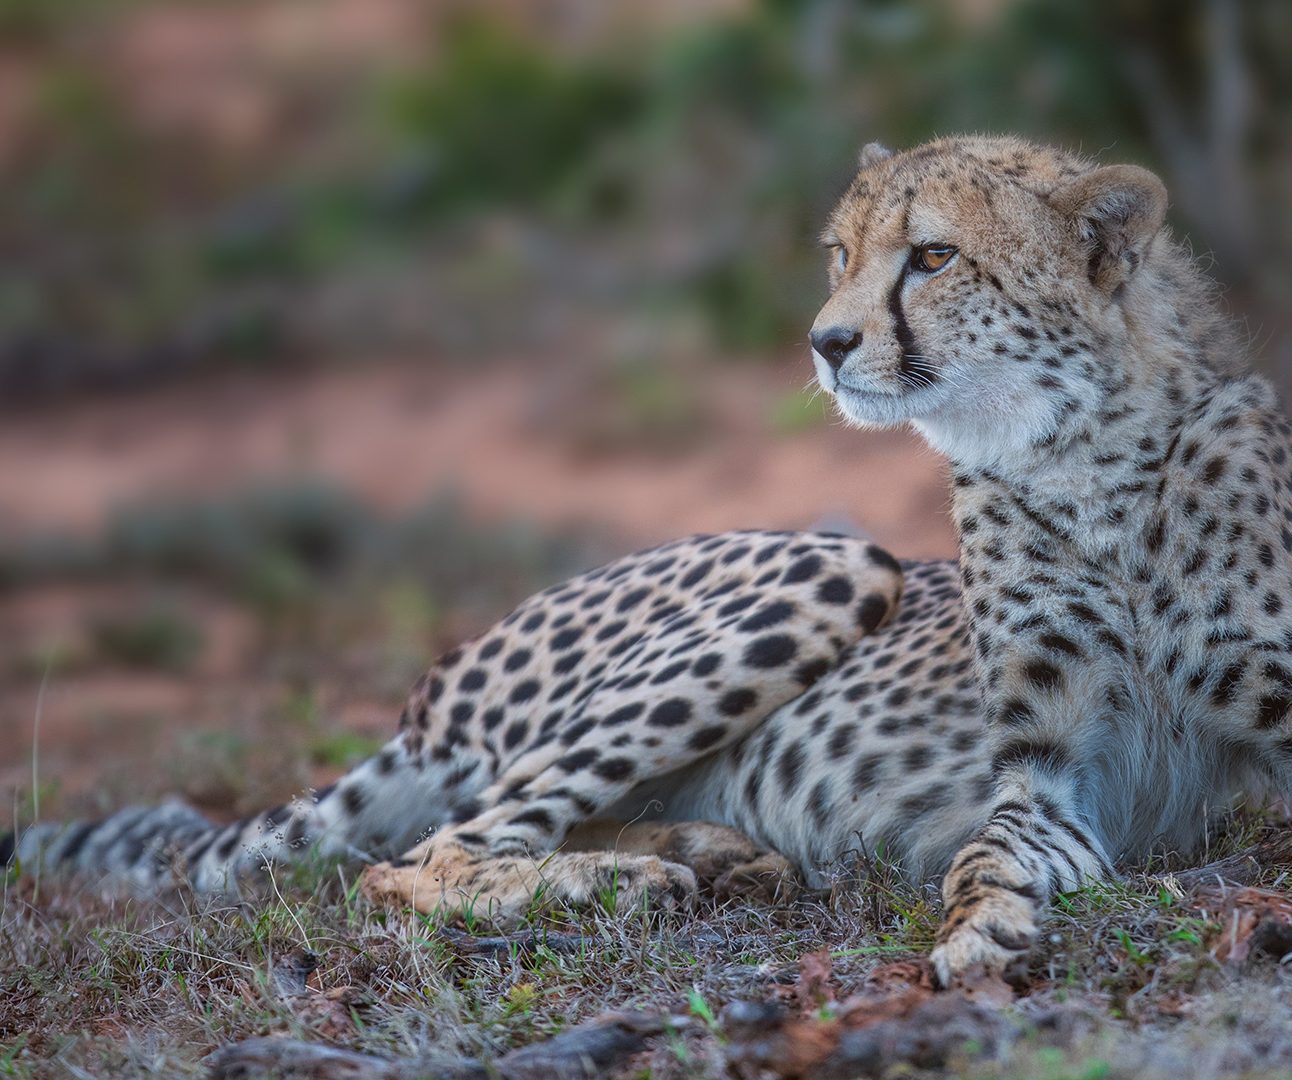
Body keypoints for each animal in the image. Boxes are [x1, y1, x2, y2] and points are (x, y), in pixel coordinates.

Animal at [10, 135, 1292, 986]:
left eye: (931, 257)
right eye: (838, 253)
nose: (825, 343)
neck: (1082, 459)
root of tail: (429, 700)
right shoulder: (1046, 774)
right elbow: (984, 858)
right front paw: (978, 928)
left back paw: (708, 853)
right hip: (834, 565)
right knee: (423, 859)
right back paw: (632, 877)